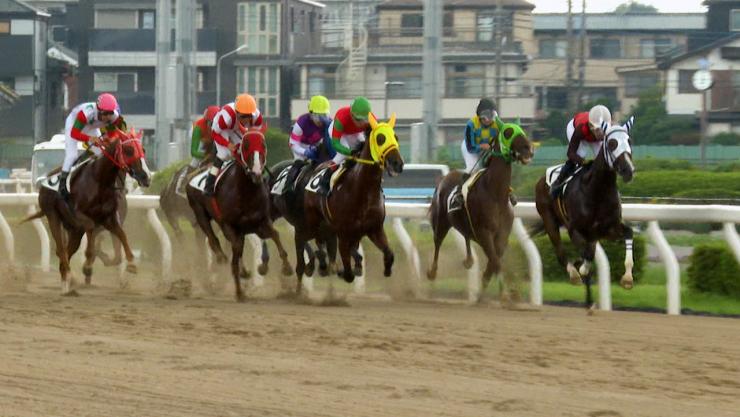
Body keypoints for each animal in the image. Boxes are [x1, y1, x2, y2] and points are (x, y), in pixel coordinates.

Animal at [23, 128, 151, 294]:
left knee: (66, 251)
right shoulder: (82, 216)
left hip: (72, 229)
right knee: (61, 249)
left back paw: (67, 280)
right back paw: (68, 277)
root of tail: (44, 182)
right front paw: (88, 265)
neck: (100, 180)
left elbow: (121, 235)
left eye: (143, 150)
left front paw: (131, 264)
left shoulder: (109, 218)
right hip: (53, 217)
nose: (146, 177)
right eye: (129, 150)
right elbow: (91, 232)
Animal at [186, 129, 294, 300]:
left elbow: (275, 235)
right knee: (214, 239)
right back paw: (222, 258)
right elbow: (235, 251)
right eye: (246, 146)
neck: (246, 191)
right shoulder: (229, 225)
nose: (256, 173)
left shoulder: (260, 222)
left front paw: (287, 267)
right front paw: (239, 291)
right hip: (200, 212)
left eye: (263, 145)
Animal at [298, 114, 404, 290]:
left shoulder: (374, 228)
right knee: (311, 239)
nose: (398, 164)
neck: (363, 190)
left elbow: (389, 254)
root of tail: (318, 166)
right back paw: (319, 264)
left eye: (396, 137)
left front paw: (386, 269)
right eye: (380, 138)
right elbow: (347, 272)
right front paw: (341, 270)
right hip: (314, 220)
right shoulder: (344, 233)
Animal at [424, 115, 536, 300]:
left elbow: (494, 260)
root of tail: (444, 178)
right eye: (507, 132)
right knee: (437, 243)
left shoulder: (502, 235)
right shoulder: (484, 232)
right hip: (441, 222)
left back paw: (468, 260)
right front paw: (504, 294)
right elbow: (495, 261)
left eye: (522, 130)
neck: (496, 194)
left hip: (462, 224)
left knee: (466, 235)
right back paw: (432, 273)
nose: (528, 149)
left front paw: (485, 290)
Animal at [532, 117, 636, 308]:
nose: (628, 170)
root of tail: (541, 179)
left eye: (629, 141)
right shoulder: (575, 230)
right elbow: (587, 258)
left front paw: (627, 278)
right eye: (611, 144)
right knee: (560, 252)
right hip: (549, 220)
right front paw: (581, 268)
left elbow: (628, 233)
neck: (597, 191)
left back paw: (588, 299)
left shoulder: (608, 229)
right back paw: (575, 276)